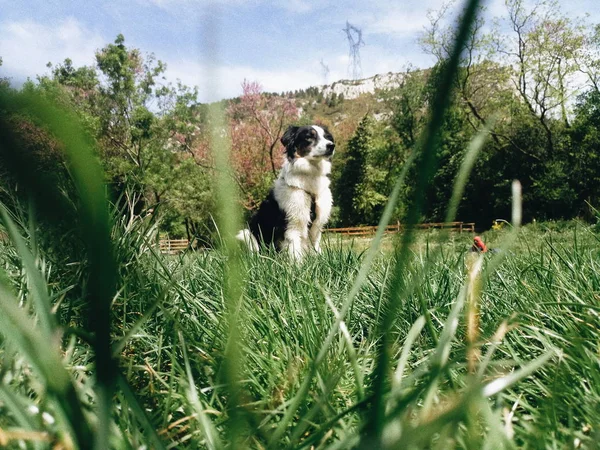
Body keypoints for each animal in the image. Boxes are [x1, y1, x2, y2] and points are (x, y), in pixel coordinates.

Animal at [237, 125, 336, 260]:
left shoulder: (316, 227)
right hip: (246, 235)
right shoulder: (291, 224)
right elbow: (295, 254)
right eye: (309, 137)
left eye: (327, 137)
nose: (331, 145)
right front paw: (298, 266)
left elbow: (314, 248)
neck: (310, 174)